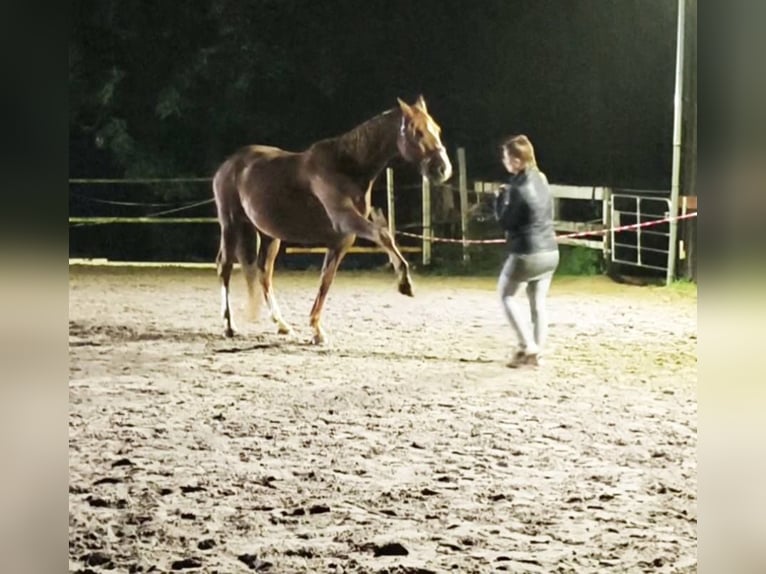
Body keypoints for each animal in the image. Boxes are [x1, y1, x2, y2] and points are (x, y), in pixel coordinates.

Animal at [213, 96, 452, 344]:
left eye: (437, 129)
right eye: (417, 132)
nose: (442, 169)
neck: (346, 167)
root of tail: (229, 164)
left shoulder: (340, 241)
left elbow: (326, 281)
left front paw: (317, 330)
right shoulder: (346, 222)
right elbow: (383, 235)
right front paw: (405, 283)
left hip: (270, 235)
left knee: (264, 271)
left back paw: (282, 325)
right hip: (230, 224)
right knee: (225, 266)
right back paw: (229, 326)